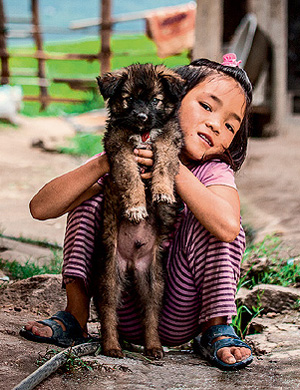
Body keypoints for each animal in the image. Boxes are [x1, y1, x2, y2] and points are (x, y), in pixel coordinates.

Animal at [95, 62, 185, 358]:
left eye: (155, 100)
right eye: (129, 99)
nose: (143, 116)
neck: (145, 133)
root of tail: (132, 262)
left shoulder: (169, 140)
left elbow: (165, 164)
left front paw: (163, 192)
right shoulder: (119, 147)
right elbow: (131, 176)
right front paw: (136, 205)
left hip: (153, 280)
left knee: (151, 312)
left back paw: (154, 346)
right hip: (109, 273)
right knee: (108, 310)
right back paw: (112, 346)